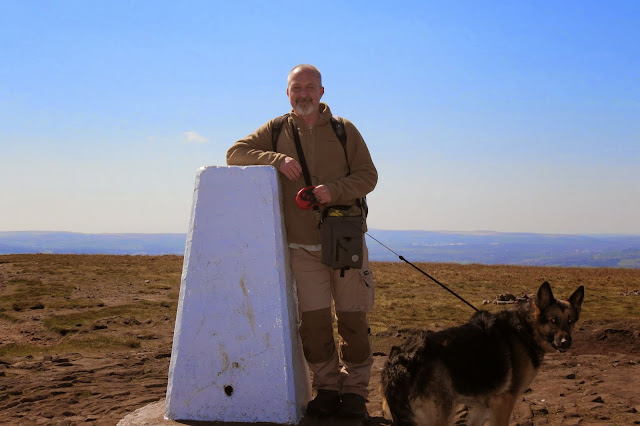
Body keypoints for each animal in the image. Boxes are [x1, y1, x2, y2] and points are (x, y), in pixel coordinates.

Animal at [380, 282, 584, 424]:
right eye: (553, 320)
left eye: (571, 321)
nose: (567, 343)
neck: (524, 330)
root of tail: (400, 361)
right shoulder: (504, 403)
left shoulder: (482, 405)